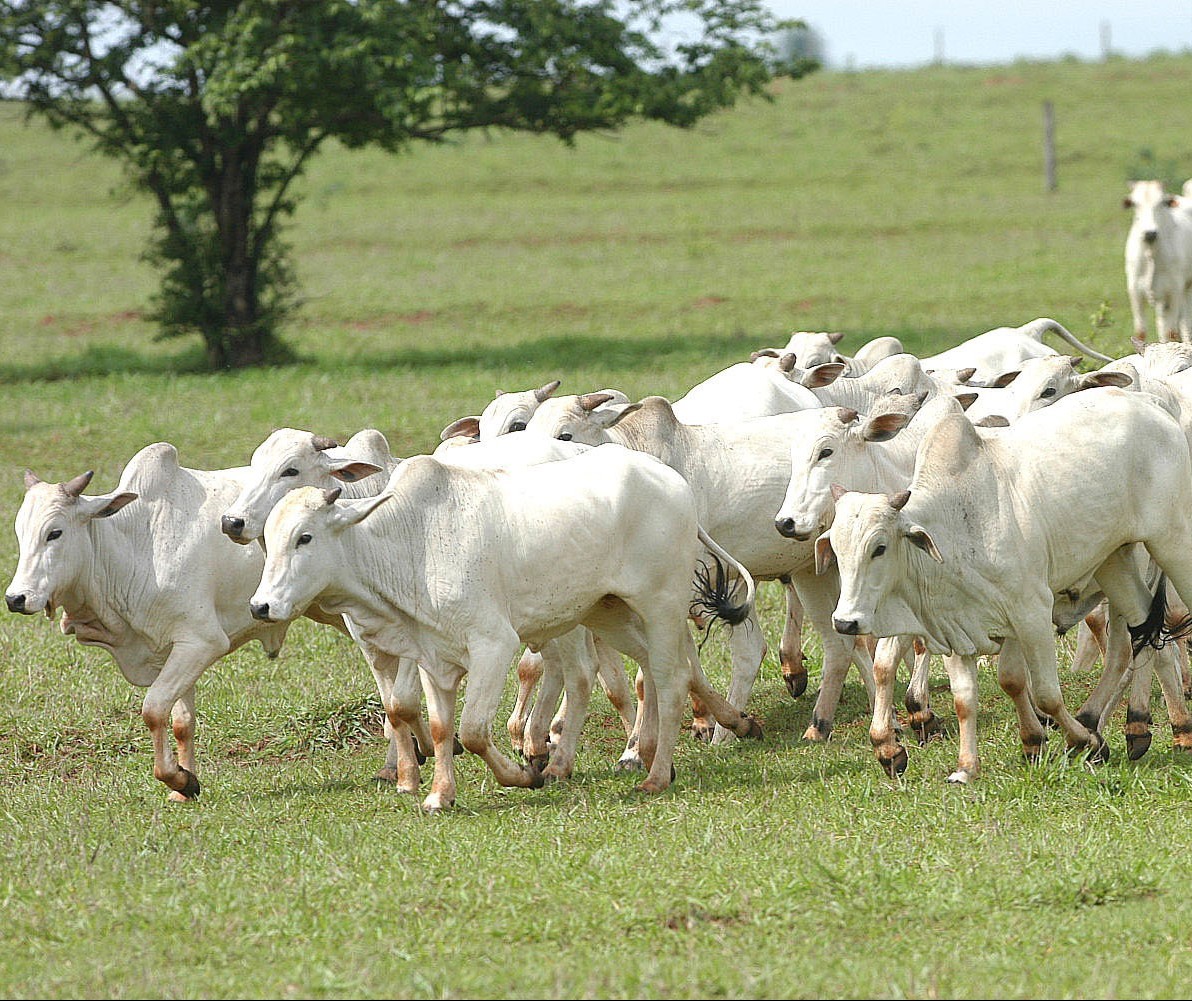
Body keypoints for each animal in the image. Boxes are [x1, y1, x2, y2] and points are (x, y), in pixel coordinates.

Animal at [6, 440, 290, 800]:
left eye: (54, 532)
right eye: (20, 532)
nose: (15, 598)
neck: (136, 548)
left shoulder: (202, 642)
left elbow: (154, 710)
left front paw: (178, 778)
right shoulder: (173, 649)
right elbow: (182, 721)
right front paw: (184, 787)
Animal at [246, 445, 758, 815]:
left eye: (305, 537)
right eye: (270, 540)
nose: (260, 605)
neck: (413, 546)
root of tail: (671, 480)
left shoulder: (493, 645)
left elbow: (473, 730)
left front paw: (523, 775)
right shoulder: (431, 656)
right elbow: (439, 727)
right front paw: (439, 794)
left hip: (660, 606)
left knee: (670, 680)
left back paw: (655, 774)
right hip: (607, 612)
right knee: (655, 669)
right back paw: (714, 730)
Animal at [820, 386, 1192, 786]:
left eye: (880, 547)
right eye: (836, 549)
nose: (844, 622)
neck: (957, 523)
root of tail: (1149, 405)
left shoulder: (1031, 611)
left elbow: (1045, 694)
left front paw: (1083, 741)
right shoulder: (958, 625)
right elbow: (969, 696)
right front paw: (968, 766)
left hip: (1171, 543)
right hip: (1114, 562)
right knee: (1142, 639)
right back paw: (1126, 728)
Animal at [1120, 182, 1192, 345]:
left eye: (1162, 202)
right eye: (1134, 203)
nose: (1150, 233)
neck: (1151, 252)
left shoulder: (1173, 291)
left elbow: (1171, 333)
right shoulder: (1135, 292)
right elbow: (1140, 332)